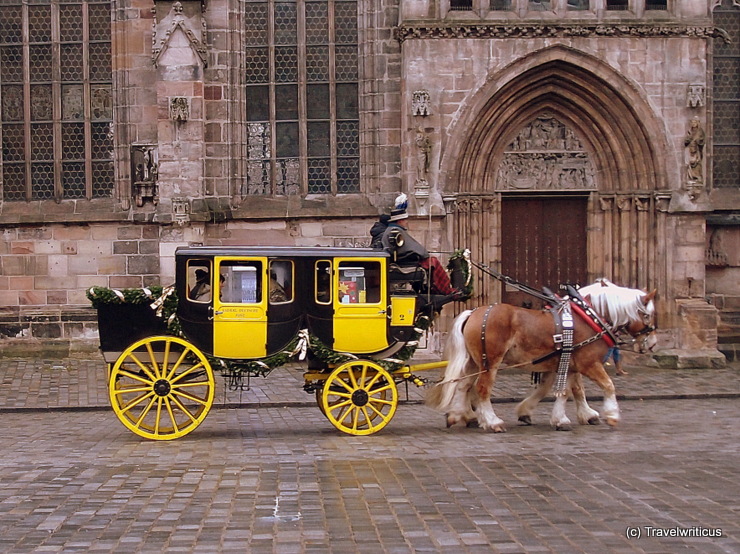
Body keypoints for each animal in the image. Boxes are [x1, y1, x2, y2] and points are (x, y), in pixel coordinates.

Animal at [424, 280, 656, 432]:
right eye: (647, 314)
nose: (652, 344)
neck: (587, 317)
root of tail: (473, 312)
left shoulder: (570, 362)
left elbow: (569, 390)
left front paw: (567, 417)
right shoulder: (589, 363)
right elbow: (607, 385)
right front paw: (612, 415)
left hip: (475, 361)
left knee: (463, 385)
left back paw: (457, 415)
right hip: (490, 361)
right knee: (481, 388)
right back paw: (492, 421)